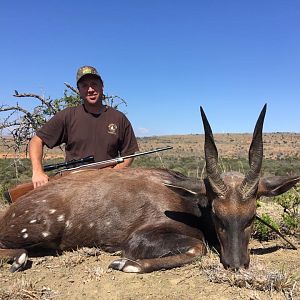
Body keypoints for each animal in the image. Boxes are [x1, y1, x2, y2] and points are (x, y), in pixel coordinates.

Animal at [0, 105, 300, 272]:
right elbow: (198, 248)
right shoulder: (138, 238)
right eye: (217, 216)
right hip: (40, 232)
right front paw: (126, 264)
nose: (236, 264)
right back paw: (18, 260)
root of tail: (11, 210)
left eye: (251, 217)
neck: (187, 205)